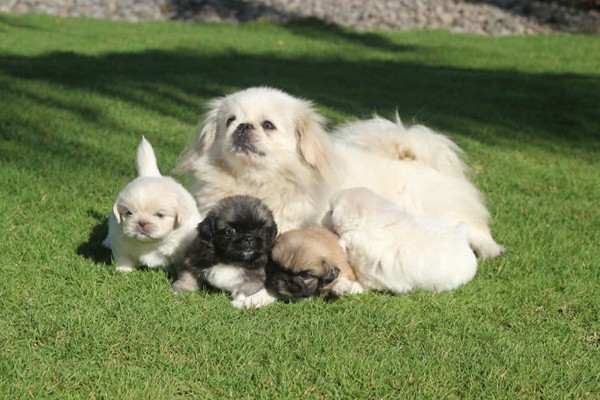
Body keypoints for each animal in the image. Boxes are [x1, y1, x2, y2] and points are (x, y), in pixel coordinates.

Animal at [104, 137, 203, 272]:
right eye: (129, 213)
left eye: (159, 215)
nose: (141, 222)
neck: (151, 244)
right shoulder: (120, 245)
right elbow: (124, 258)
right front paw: (123, 270)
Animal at [177, 86, 502, 260]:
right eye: (230, 121)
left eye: (268, 125)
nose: (244, 126)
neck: (255, 181)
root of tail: (413, 157)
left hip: (437, 210)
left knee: (475, 228)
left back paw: (491, 250)